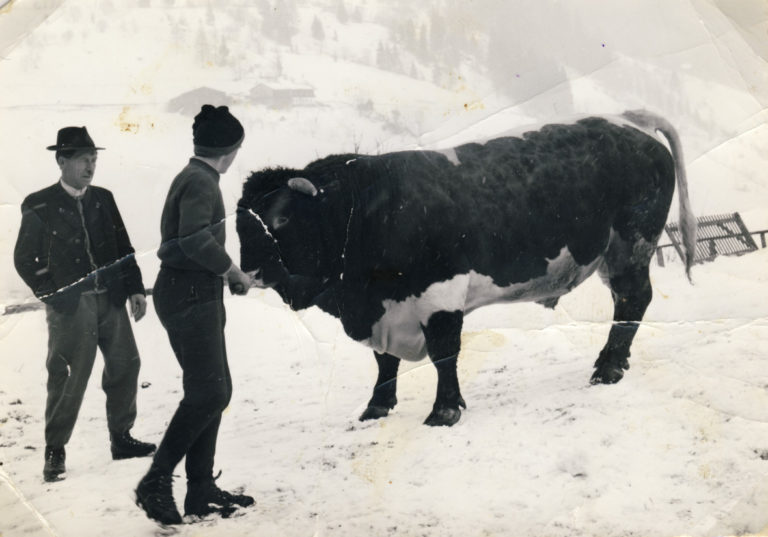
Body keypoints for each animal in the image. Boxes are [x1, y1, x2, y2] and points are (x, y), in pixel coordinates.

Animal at [238, 111, 696, 426]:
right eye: (240, 222)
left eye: (281, 218)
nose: (244, 272)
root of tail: (627, 119)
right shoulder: (382, 309)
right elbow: (385, 363)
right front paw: (376, 407)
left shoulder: (440, 293)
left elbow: (444, 353)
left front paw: (443, 411)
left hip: (631, 245)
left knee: (633, 300)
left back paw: (608, 368)